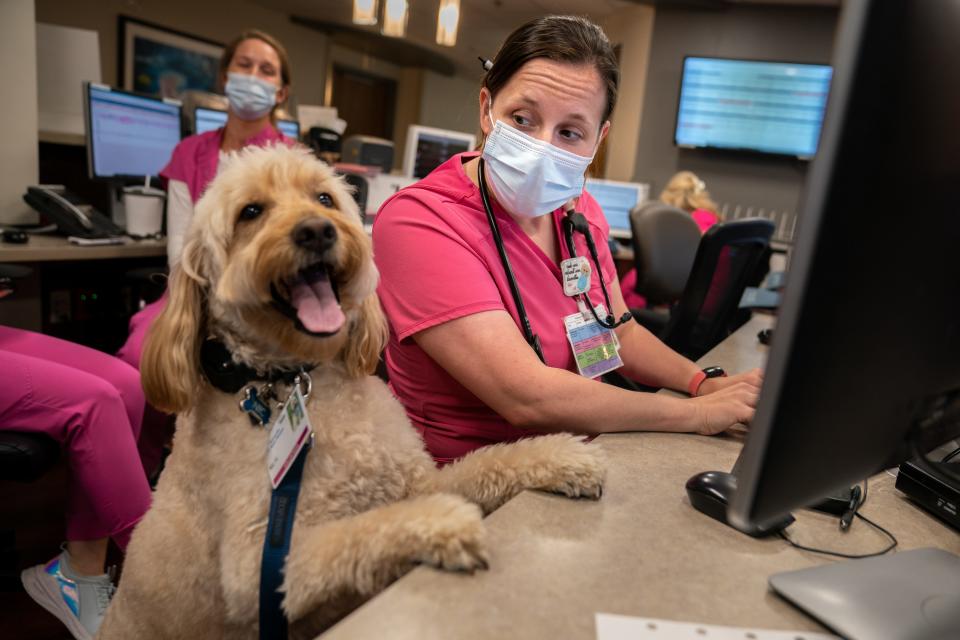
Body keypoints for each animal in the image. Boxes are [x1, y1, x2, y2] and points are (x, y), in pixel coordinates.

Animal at [99, 146, 608, 640]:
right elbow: (360, 531)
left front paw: (565, 459)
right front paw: (442, 523)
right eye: (251, 211)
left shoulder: (416, 482)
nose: (317, 231)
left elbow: (490, 462)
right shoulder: (260, 568)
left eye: (324, 198)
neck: (303, 381)